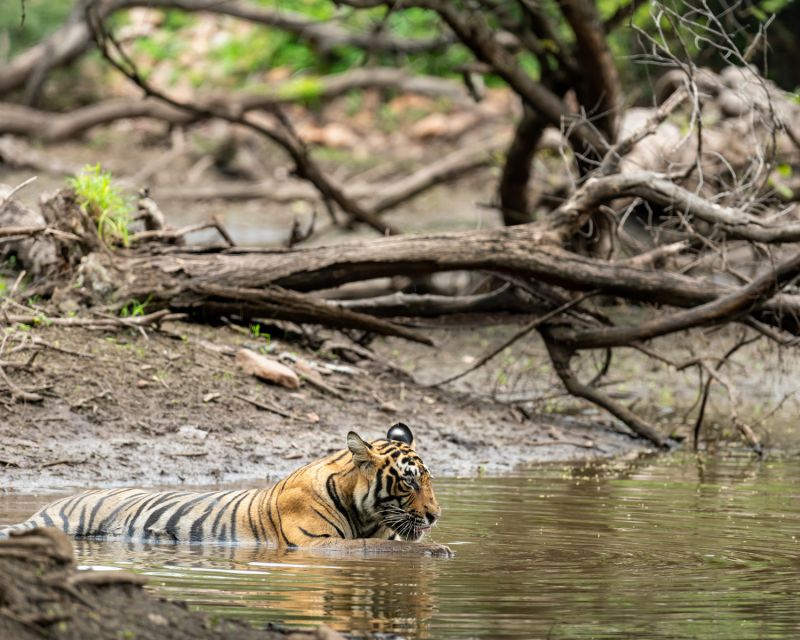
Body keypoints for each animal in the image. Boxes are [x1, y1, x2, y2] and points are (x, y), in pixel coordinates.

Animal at [0, 423, 452, 557]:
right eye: (409, 480)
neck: (365, 512)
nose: (435, 516)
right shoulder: (317, 544)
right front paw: (439, 550)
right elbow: (378, 548)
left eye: (428, 479)